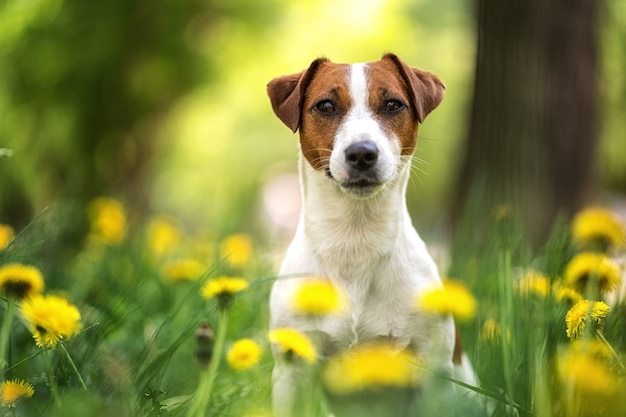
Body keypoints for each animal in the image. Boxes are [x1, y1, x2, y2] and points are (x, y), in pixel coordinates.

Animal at [266, 53, 466, 414]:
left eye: (393, 104)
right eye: (325, 105)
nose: (362, 152)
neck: (355, 238)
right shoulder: (292, 369)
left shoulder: (433, 368)